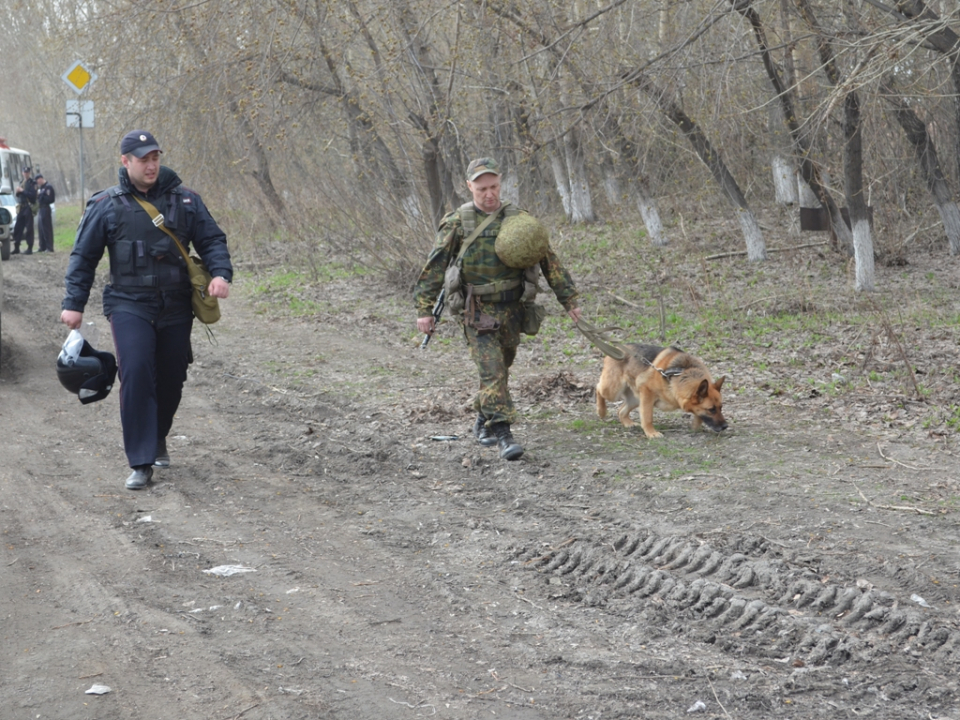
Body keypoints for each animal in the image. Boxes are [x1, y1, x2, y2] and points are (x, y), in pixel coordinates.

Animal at [592, 344, 728, 438]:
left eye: (721, 407)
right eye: (711, 409)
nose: (725, 426)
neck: (682, 373)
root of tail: (616, 348)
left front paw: (696, 424)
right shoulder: (647, 394)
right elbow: (647, 417)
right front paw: (651, 433)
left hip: (635, 399)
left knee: (620, 411)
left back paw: (628, 423)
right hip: (613, 391)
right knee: (598, 388)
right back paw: (601, 411)